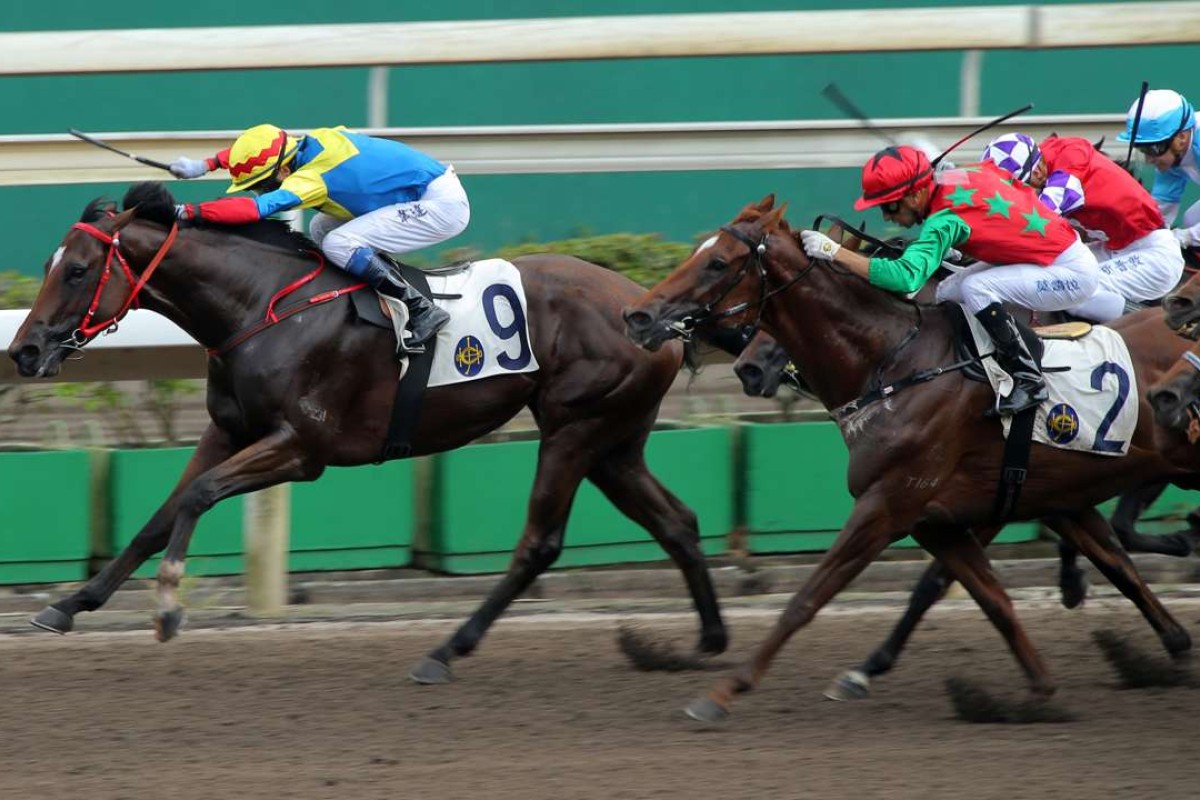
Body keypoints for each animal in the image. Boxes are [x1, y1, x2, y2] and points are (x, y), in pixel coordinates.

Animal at [4, 183, 724, 681]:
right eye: (47, 264)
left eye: (76, 270)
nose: (24, 351)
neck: (262, 304)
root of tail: (647, 311)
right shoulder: (228, 430)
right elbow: (160, 514)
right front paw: (71, 604)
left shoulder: (302, 448)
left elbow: (198, 497)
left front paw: (169, 607)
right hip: (613, 442)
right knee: (678, 522)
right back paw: (704, 643)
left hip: (576, 431)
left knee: (539, 545)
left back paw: (444, 651)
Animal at [624, 196, 1200, 724]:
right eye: (697, 252)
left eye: (718, 263)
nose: (638, 315)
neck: (897, 365)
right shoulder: (942, 519)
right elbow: (997, 596)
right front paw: (1040, 691)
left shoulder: (888, 505)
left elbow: (810, 597)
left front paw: (723, 693)